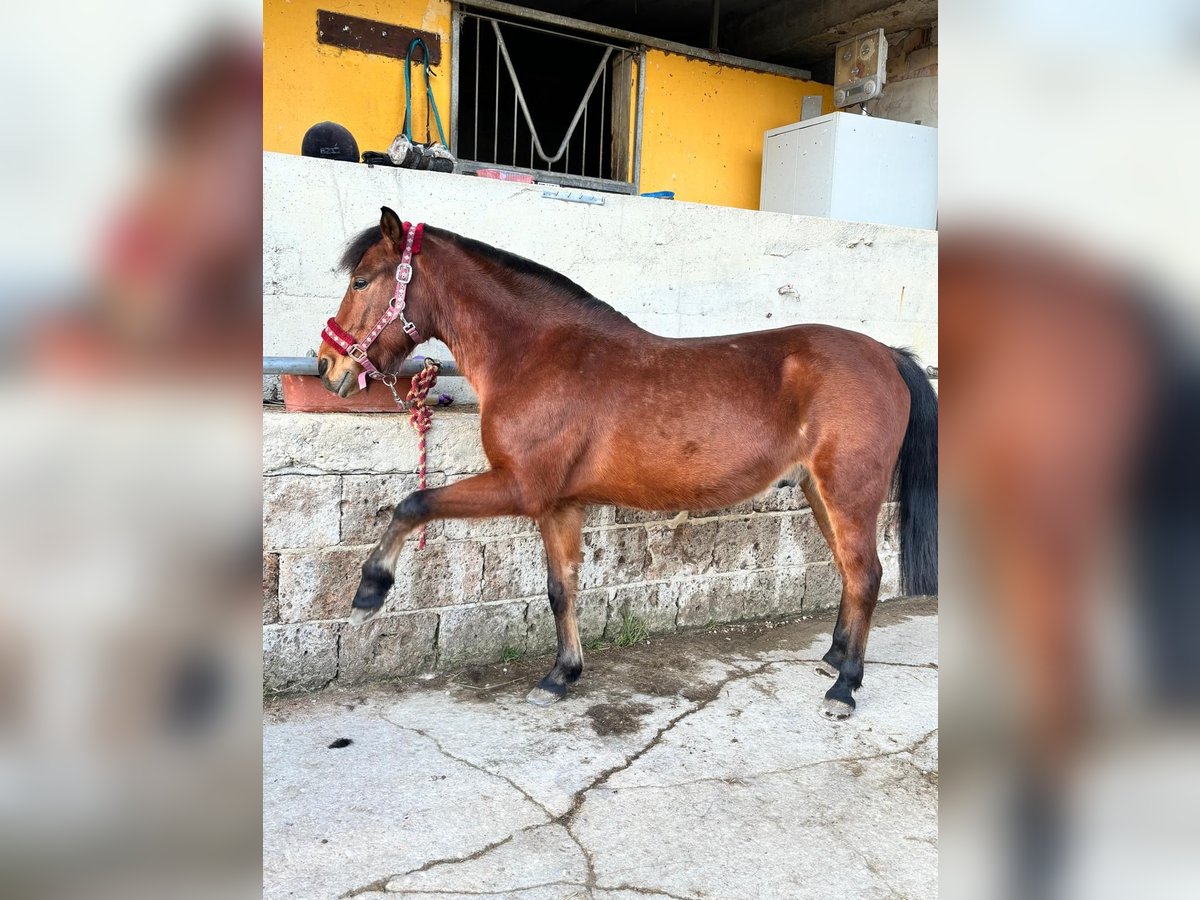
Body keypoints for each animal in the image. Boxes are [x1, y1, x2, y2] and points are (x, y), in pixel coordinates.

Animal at [314, 206, 931, 720]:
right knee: (849, 572)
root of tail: (887, 355)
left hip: (849, 492)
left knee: (866, 575)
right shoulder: (560, 505)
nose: (326, 365)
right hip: (818, 492)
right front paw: (561, 675)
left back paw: (844, 687)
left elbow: (413, 503)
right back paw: (834, 657)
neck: (536, 353)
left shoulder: (520, 487)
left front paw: (369, 595)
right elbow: (561, 587)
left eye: (360, 280)